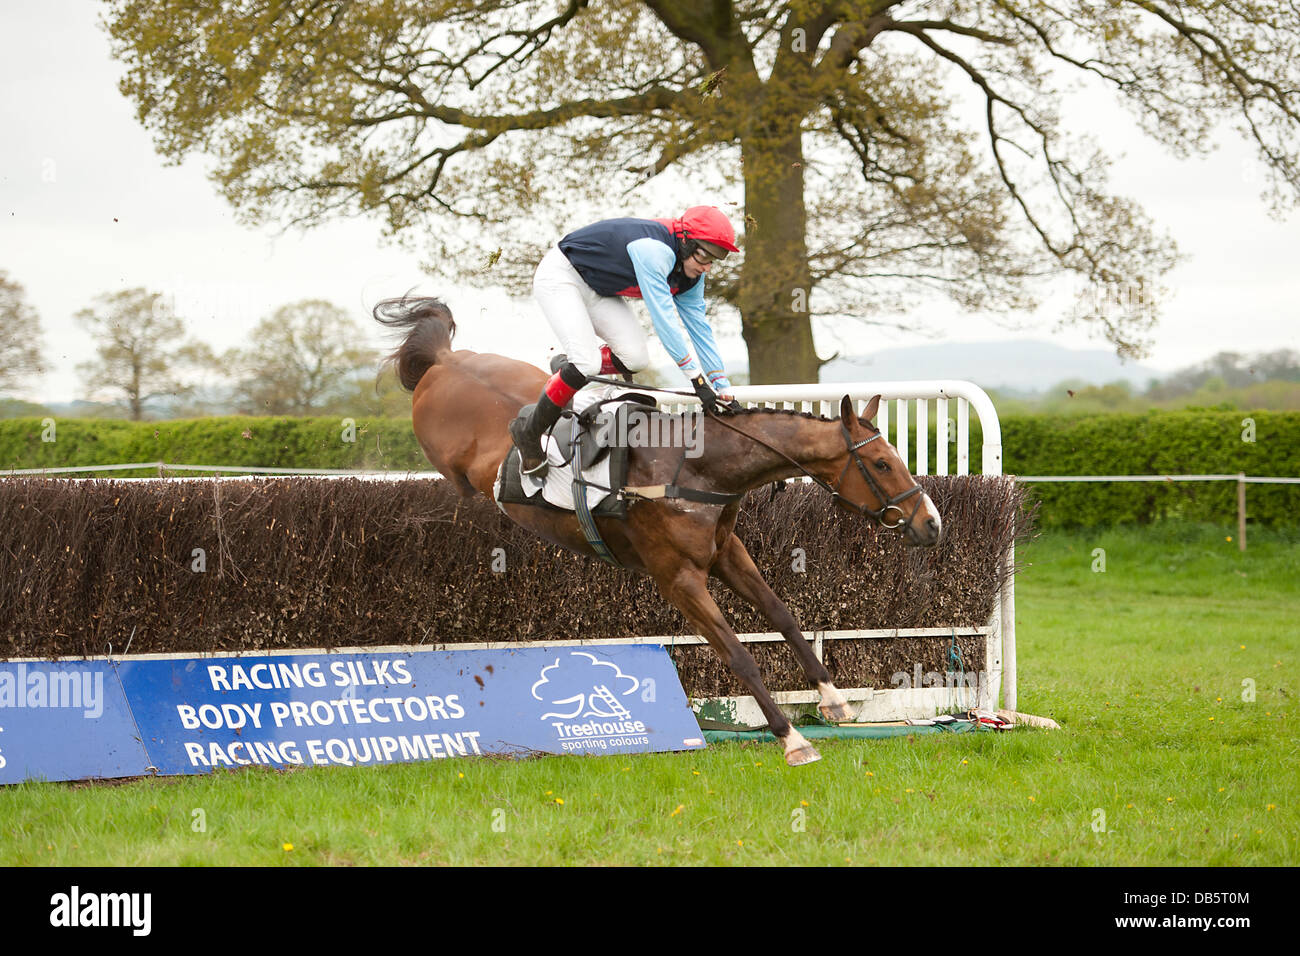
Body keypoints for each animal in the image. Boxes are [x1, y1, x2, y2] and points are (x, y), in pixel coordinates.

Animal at [371, 295, 941, 764]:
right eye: (883, 464)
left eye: (896, 457)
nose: (931, 523)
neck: (696, 468)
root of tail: (444, 362)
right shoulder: (678, 579)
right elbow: (738, 655)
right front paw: (792, 739)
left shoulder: (726, 552)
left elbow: (783, 614)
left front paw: (832, 698)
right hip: (448, 462)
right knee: (461, 483)